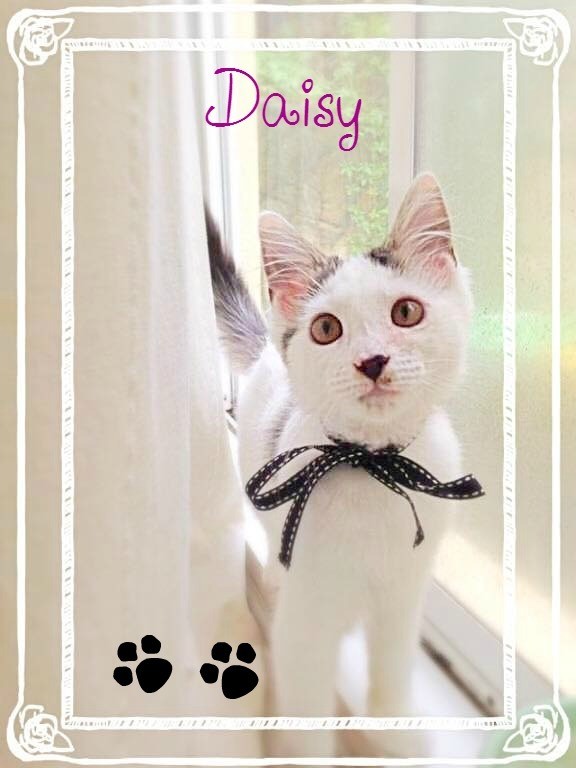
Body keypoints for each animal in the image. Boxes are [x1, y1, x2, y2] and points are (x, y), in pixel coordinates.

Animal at [206, 173, 473, 758]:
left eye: (406, 312)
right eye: (326, 328)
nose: (371, 361)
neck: (373, 469)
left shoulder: (403, 594)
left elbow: (392, 664)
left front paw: (392, 726)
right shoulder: (306, 619)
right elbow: (307, 703)